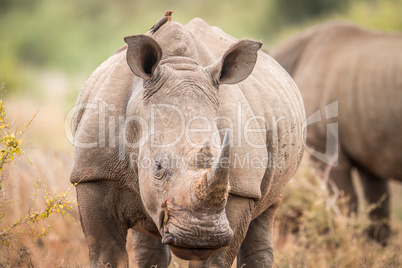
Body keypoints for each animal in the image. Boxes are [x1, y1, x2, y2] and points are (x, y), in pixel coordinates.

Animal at [71, 17, 304, 266]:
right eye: (158, 166)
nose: (202, 233)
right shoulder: (94, 173)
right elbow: (106, 253)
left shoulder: (242, 189)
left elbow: (214, 260)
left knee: (269, 209)